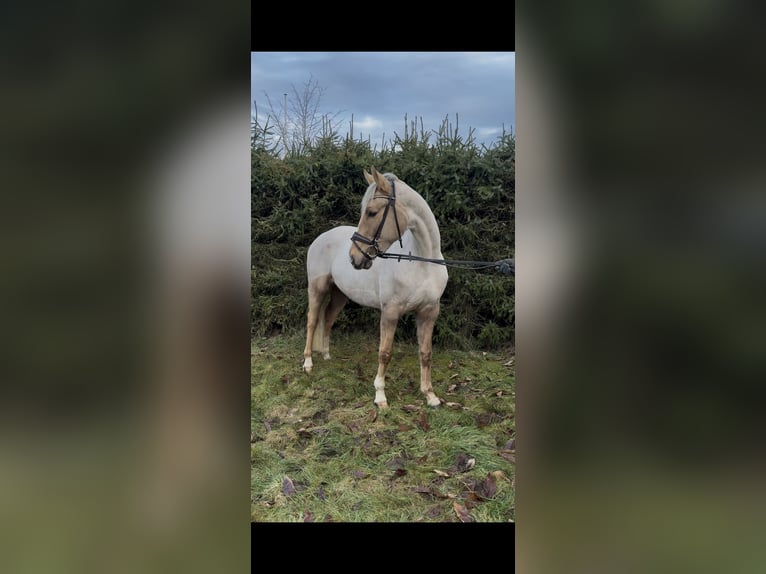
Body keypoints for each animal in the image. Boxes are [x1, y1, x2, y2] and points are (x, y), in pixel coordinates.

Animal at [301, 166, 449, 408]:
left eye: (371, 212)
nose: (354, 257)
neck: (422, 261)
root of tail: (321, 238)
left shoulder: (429, 312)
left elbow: (425, 353)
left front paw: (430, 395)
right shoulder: (390, 312)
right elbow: (385, 353)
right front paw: (380, 396)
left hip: (340, 295)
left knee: (328, 320)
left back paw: (326, 355)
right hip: (317, 288)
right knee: (313, 321)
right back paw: (308, 363)